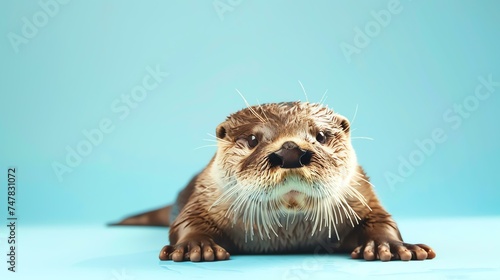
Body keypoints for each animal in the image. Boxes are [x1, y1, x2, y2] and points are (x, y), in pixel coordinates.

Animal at [115, 101, 436, 262]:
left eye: (320, 135)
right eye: (252, 139)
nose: (290, 150)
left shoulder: (361, 194)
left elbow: (381, 220)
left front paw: (391, 247)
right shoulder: (203, 198)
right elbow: (188, 222)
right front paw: (195, 245)